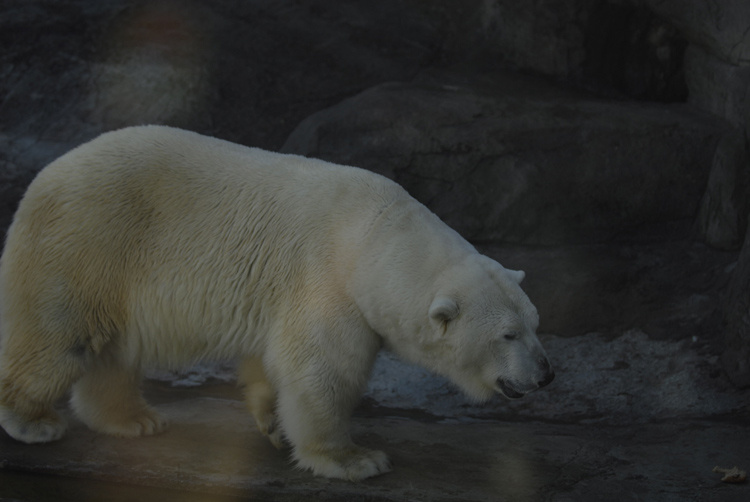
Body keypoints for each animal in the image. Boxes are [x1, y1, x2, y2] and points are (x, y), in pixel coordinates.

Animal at [0, 125, 554, 481]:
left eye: (535, 323)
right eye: (507, 334)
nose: (546, 374)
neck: (372, 235)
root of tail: (46, 176)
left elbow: (272, 362)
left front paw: (271, 423)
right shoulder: (328, 284)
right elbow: (324, 370)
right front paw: (356, 460)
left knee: (110, 349)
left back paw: (134, 419)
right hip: (91, 241)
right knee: (57, 335)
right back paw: (32, 420)